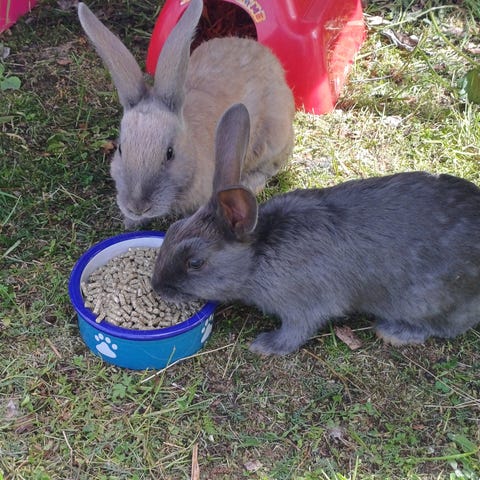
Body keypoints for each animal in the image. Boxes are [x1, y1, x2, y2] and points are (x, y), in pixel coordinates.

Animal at [151, 102, 480, 356]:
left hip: (427, 300)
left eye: (195, 262)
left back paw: (395, 332)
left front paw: (266, 346)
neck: (259, 256)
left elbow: (297, 330)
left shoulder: (304, 305)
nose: (156, 287)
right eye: (172, 231)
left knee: (447, 326)